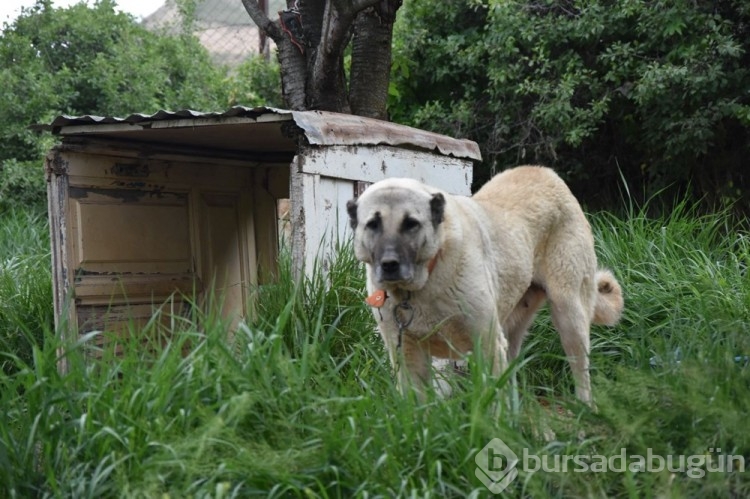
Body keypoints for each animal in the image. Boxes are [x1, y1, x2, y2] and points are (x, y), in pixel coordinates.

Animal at [350, 166, 624, 404]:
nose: (389, 264)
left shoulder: (487, 344)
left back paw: (584, 410)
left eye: (411, 224)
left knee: (581, 372)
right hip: (512, 327)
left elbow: (492, 402)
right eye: (373, 224)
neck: (421, 285)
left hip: (569, 314)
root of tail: (548, 173)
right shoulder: (407, 354)